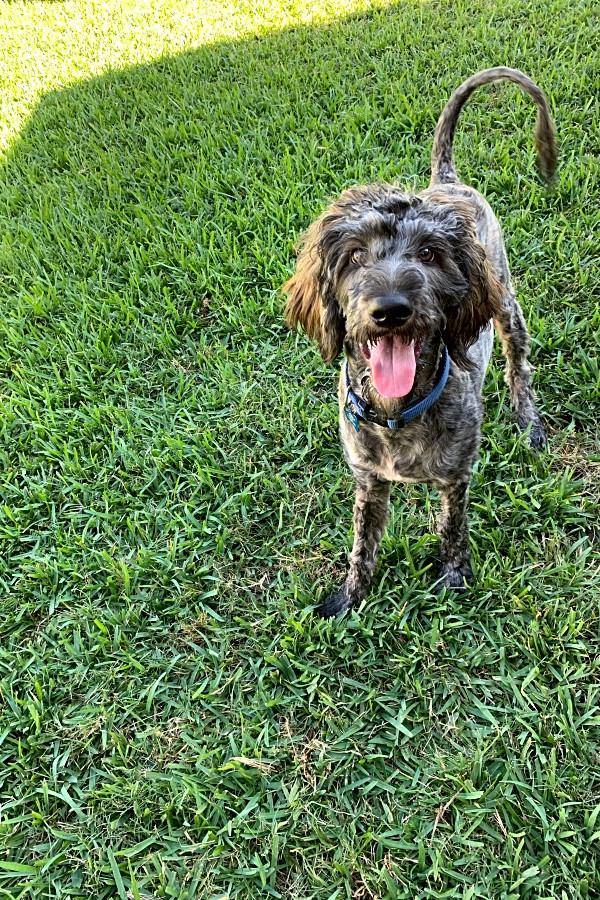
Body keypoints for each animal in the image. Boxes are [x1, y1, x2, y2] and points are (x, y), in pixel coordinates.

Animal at [284, 68, 556, 620]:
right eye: (354, 256)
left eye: (430, 254)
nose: (391, 310)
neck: (397, 414)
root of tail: (445, 183)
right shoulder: (368, 481)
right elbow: (362, 544)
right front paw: (350, 596)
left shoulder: (457, 476)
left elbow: (453, 526)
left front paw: (453, 575)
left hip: (506, 304)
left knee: (518, 365)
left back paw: (529, 422)